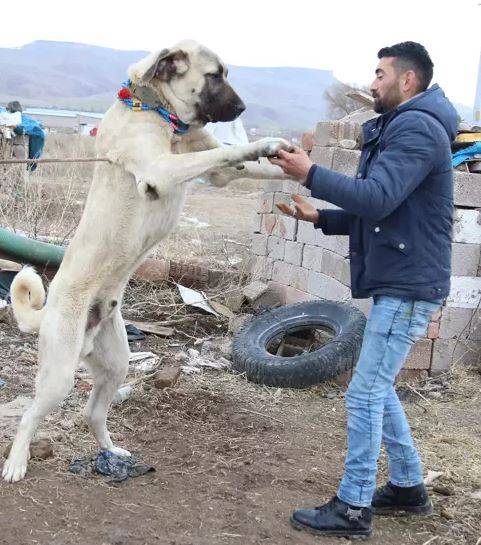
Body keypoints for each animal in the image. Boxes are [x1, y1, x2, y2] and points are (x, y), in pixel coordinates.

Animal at [2, 39, 292, 480]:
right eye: (214, 75)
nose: (242, 109)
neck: (157, 111)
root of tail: (50, 309)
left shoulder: (216, 169)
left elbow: (246, 165)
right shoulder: (161, 169)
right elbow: (235, 151)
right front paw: (266, 142)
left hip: (116, 363)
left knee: (92, 413)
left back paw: (112, 452)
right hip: (59, 374)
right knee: (30, 415)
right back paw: (17, 462)